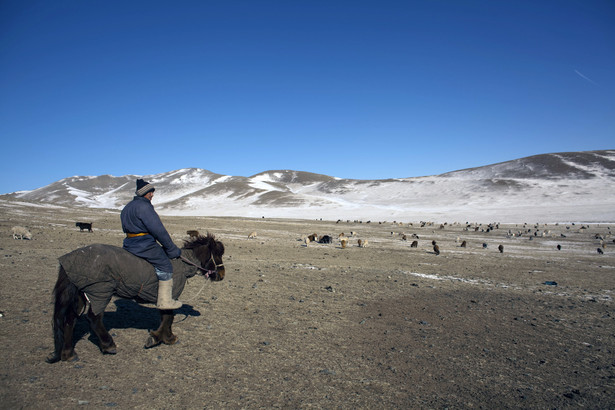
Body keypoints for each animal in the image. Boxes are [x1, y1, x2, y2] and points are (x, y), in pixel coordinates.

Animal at [45, 232, 225, 364]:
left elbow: (167, 317)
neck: (183, 266)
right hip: (101, 291)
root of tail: (70, 258)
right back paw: (108, 345)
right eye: (217, 254)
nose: (221, 275)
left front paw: (167, 337)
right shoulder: (169, 295)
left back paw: (68, 354)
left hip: (81, 294)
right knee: (93, 318)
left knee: (70, 320)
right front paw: (158, 338)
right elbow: (168, 317)